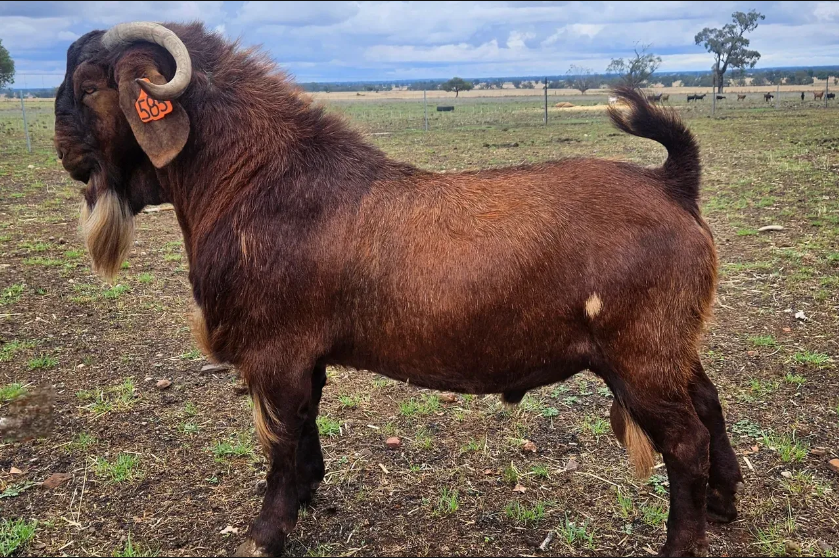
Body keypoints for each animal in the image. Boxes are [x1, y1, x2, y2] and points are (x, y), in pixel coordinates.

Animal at [54, 22, 742, 558]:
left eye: (89, 87)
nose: (65, 153)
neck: (259, 178)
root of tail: (672, 184)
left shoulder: (274, 353)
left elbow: (280, 441)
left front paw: (266, 533)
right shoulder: (305, 357)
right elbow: (304, 427)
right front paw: (309, 493)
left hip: (639, 353)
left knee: (685, 439)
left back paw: (682, 541)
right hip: (670, 343)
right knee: (709, 403)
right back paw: (723, 502)